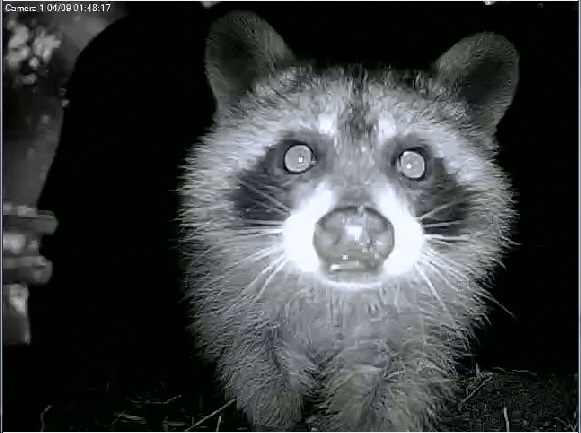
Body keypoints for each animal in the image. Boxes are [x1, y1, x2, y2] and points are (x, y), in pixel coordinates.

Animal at [179, 11, 520, 432]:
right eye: (297, 157)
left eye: (413, 163)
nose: (354, 234)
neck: (338, 297)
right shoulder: (235, 308)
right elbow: (257, 366)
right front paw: (275, 415)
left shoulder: (415, 334)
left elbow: (394, 387)